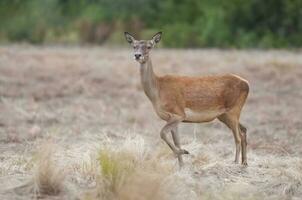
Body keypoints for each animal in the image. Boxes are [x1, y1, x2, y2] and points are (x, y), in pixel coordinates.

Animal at [124, 32, 249, 166]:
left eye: (149, 46)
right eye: (134, 46)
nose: (137, 55)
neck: (157, 91)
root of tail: (247, 83)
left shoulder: (178, 113)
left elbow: (162, 133)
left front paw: (184, 152)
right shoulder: (173, 118)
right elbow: (177, 141)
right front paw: (181, 165)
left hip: (233, 109)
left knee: (238, 136)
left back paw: (235, 163)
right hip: (224, 115)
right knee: (244, 130)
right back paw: (244, 163)